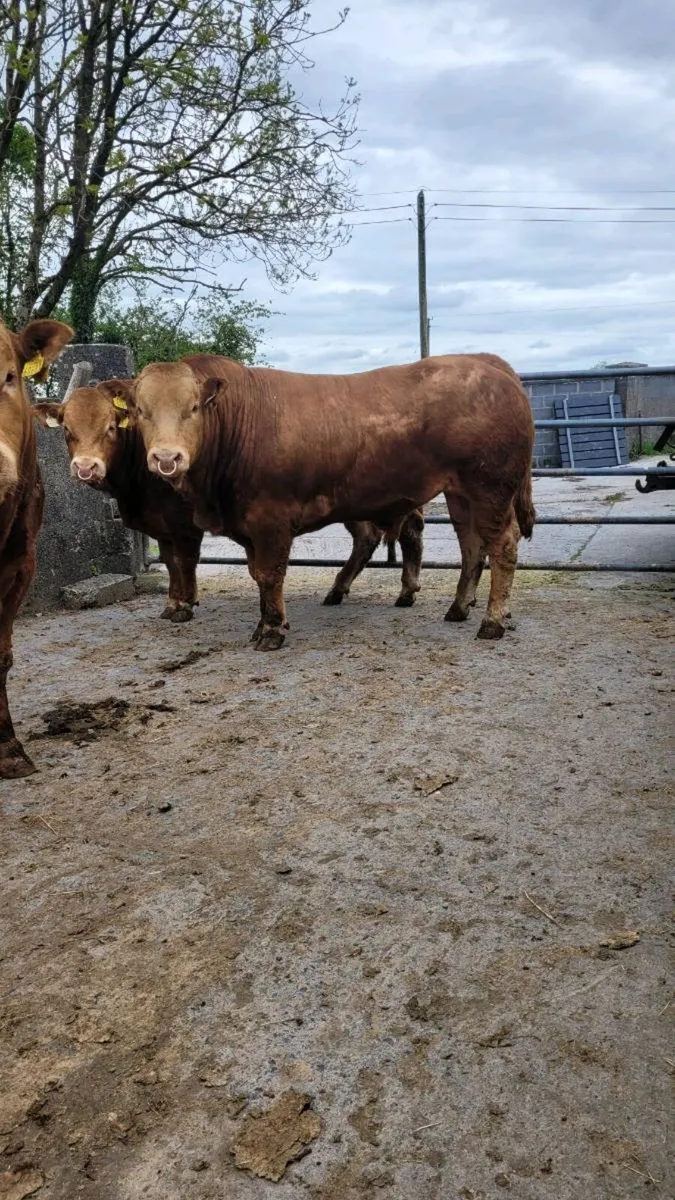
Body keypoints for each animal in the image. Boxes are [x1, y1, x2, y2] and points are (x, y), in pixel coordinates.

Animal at [35, 382, 425, 618]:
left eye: (111, 428)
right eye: (67, 430)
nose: (86, 467)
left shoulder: (183, 521)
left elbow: (184, 561)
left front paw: (184, 604)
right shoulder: (160, 523)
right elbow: (171, 562)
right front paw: (174, 602)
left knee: (407, 532)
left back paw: (404, 591)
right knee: (372, 537)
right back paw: (343, 589)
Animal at [98, 352, 535, 650]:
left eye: (192, 408)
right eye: (140, 410)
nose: (167, 458)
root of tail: (491, 366)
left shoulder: (270, 520)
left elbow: (269, 574)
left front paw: (272, 631)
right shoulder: (247, 526)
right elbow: (256, 574)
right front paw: (265, 623)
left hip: (490, 487)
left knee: (503, 545)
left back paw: (492, 621)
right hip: (460, 493)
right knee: (471, 545)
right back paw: (459, 607)